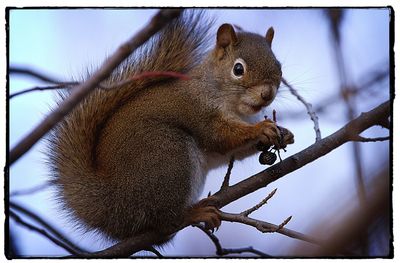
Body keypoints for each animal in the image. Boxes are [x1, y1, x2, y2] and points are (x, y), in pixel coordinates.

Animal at [47, 10, 294, 248]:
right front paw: (261, 128)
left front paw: (284, 134)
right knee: (165, 222)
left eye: (279, 67)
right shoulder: (198, 110)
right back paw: (194, 214)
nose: (267, 94)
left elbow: (234, 152)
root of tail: (111, 206)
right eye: (238, 69)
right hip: (168, 156)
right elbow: (220, 137)